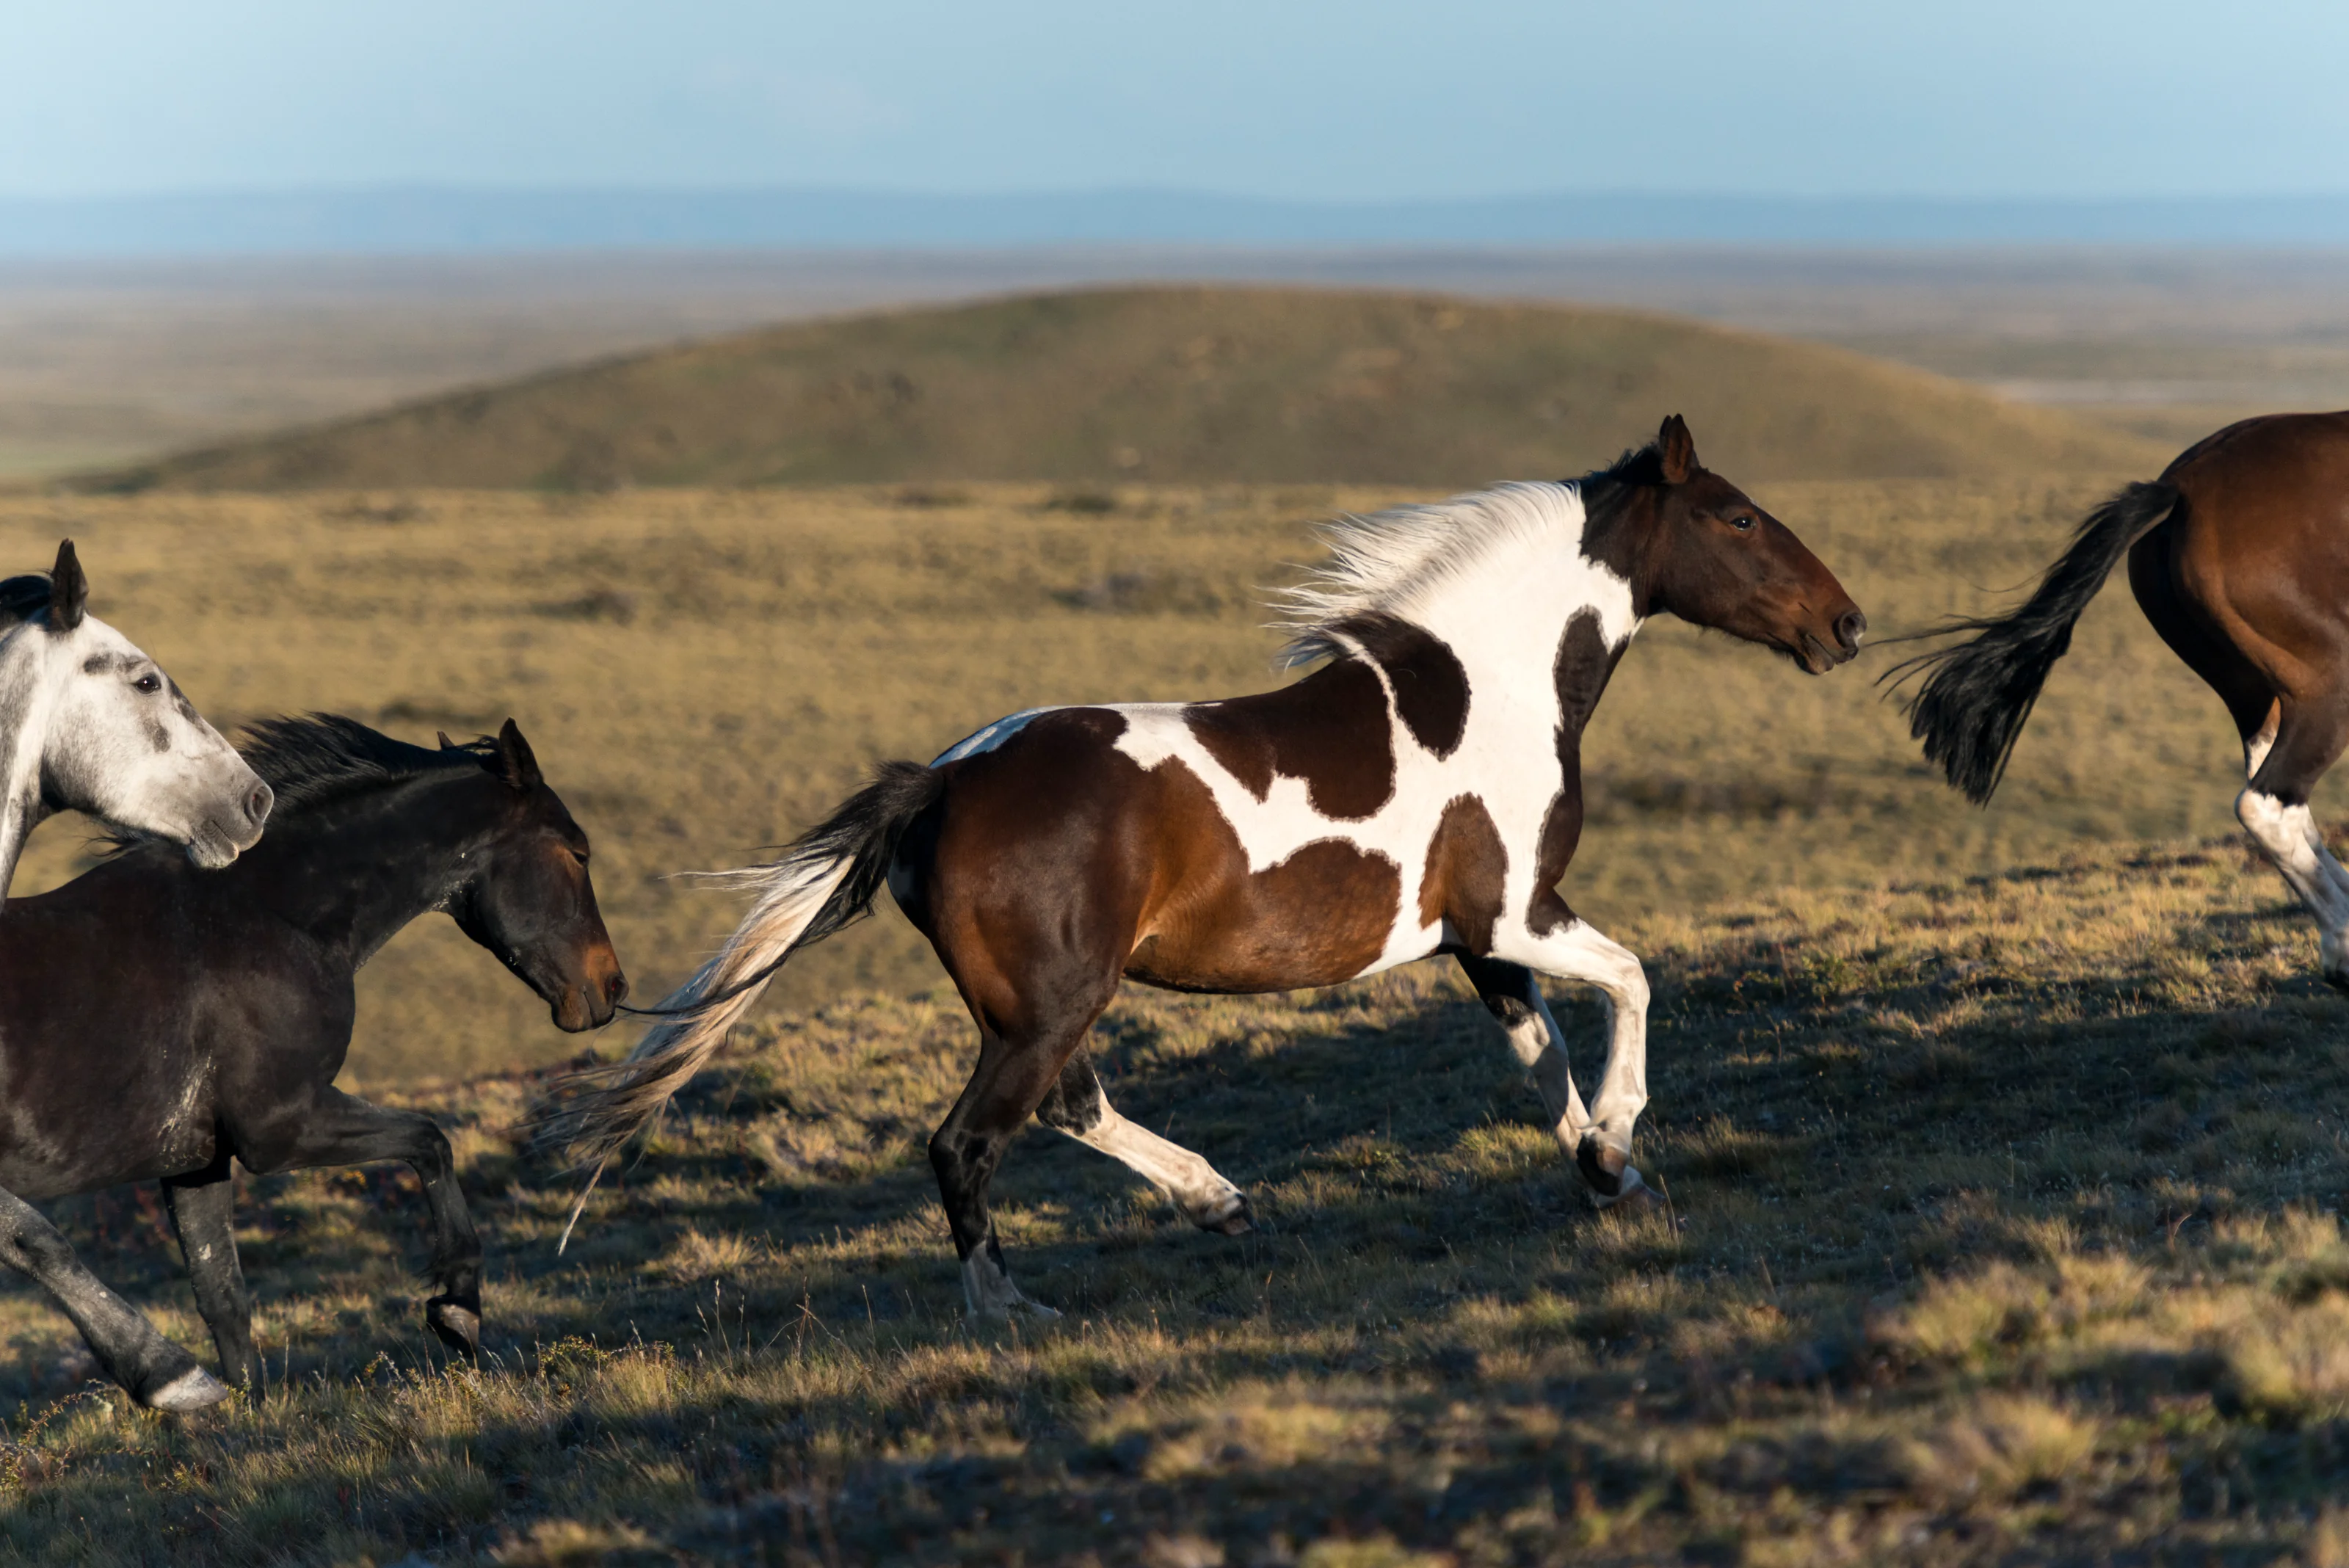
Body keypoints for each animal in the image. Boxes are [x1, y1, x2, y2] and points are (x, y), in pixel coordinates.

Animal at [0, 714, 627, 1408]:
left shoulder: (198, 1161)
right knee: (38, 1241)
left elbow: (223, 1295)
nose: (611, 988)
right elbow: (430, 1140)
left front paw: (250, 1414)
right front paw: (458, 1309)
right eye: (577, 852)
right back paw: (167, 1376)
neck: (275, 919)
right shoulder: (281, 1128)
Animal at [544, 415, 1866, 1320]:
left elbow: (1542, 1063)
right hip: (1054, 1000)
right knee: (967, 1141)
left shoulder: (1479, 943)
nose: (1846, 624)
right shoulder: (1519, 914)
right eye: (1739, 518)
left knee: (1066, 1106)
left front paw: (1610, 1174)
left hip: (1043, 1003)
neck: (1484, 690)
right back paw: (1011, 1308)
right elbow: (1635, 980)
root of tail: (941, 783)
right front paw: (1624, 1142)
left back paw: (1217, 1199)